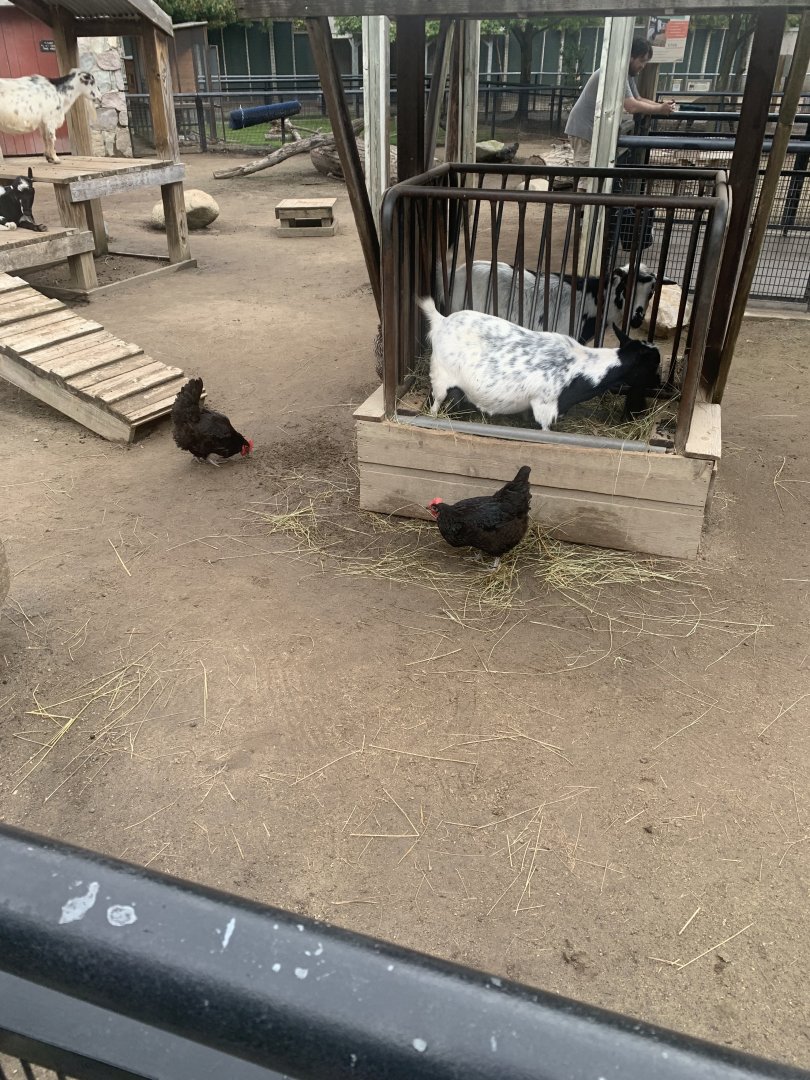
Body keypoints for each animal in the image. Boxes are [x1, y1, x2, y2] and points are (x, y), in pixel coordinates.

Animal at [419, 297, 661, 431]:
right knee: (436, 402)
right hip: (440, 376)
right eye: (653, 364)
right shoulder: (545, 407)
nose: (659, 384)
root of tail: (442, 320)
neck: (582, 367)